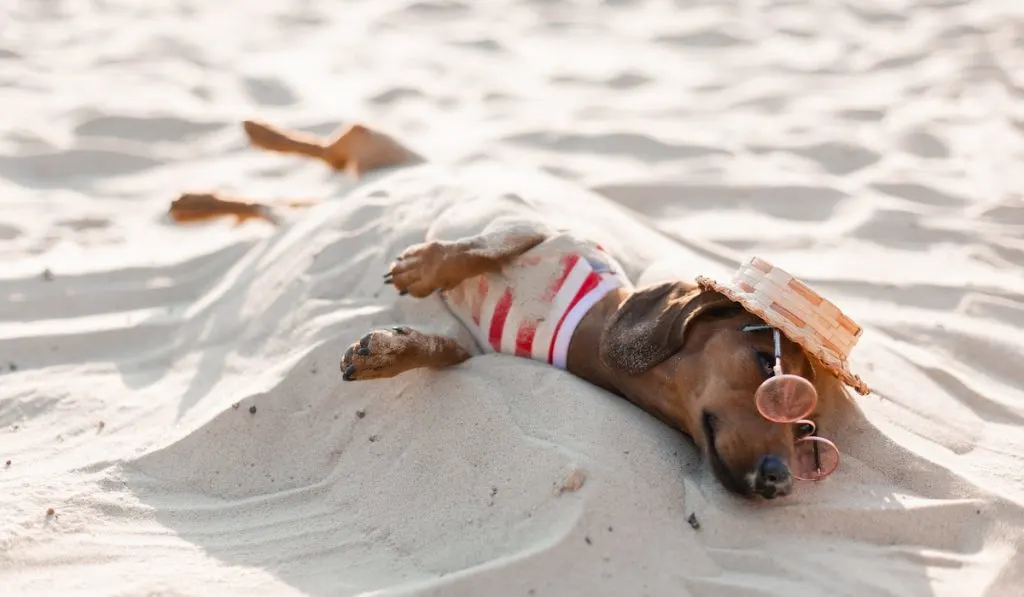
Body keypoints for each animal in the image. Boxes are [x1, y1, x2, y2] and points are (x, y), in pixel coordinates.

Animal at [176, 116, 864, 499]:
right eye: (767, 367)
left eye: (808, 434)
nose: (779, 480)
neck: (585, 325)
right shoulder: (532, 226)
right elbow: (481, 248)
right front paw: (423, 267)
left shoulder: (477, 345)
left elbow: (439, 349)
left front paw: (386, 353)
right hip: (377, 147)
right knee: (328, 143)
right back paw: (251, 139)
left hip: (298, 210)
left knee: (271, 203)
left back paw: (198, 200)